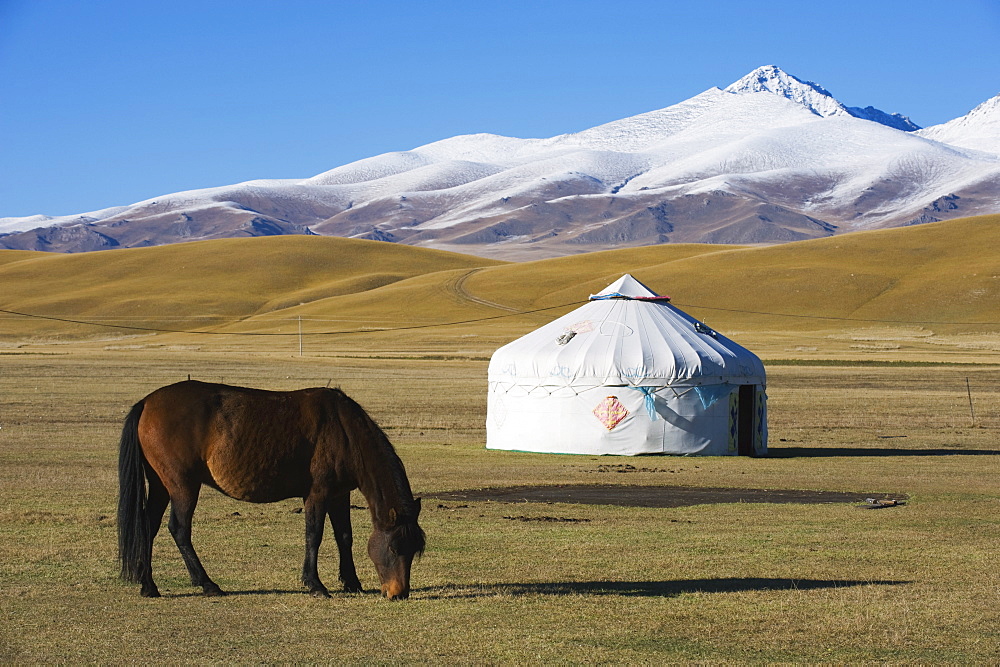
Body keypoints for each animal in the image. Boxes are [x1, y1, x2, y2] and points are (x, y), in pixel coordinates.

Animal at [117, 380, 426, 600]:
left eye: (414, 550)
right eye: (394, 547)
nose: (398, 594)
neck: (344, 431)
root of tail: (146, 403)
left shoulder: (340, 494)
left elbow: (344, 537)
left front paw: (351, 583)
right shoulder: (317, 494)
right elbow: (314, 535)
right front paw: (315, 584)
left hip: (160, 485)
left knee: (148, 526)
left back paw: (149, 585)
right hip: (182, 486)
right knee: (179, 529)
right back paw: (207, 584)